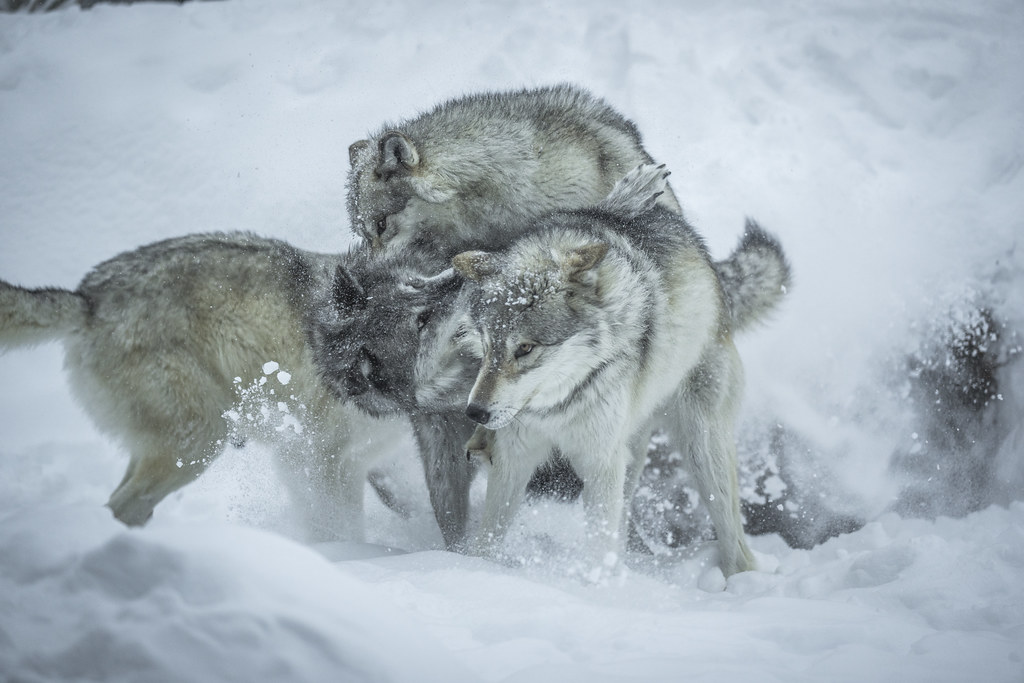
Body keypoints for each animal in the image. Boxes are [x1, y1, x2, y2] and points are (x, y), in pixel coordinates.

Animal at [0, 232, 404, 539]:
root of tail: (88, 299)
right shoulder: (319, 457)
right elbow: (337, 529)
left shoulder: (349, 461)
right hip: (201, 439)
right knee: (122, 506)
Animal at [450, 164, 790, 577]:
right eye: (486, 345)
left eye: (526, 348)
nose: (475, 412)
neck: (559, 402)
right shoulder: (516, 457)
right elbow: (487, 540)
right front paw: (476, 570)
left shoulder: (601, 463)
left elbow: (598, 545)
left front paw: (594, 584)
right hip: (634, 449)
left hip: (700, 448)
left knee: (736, 546)